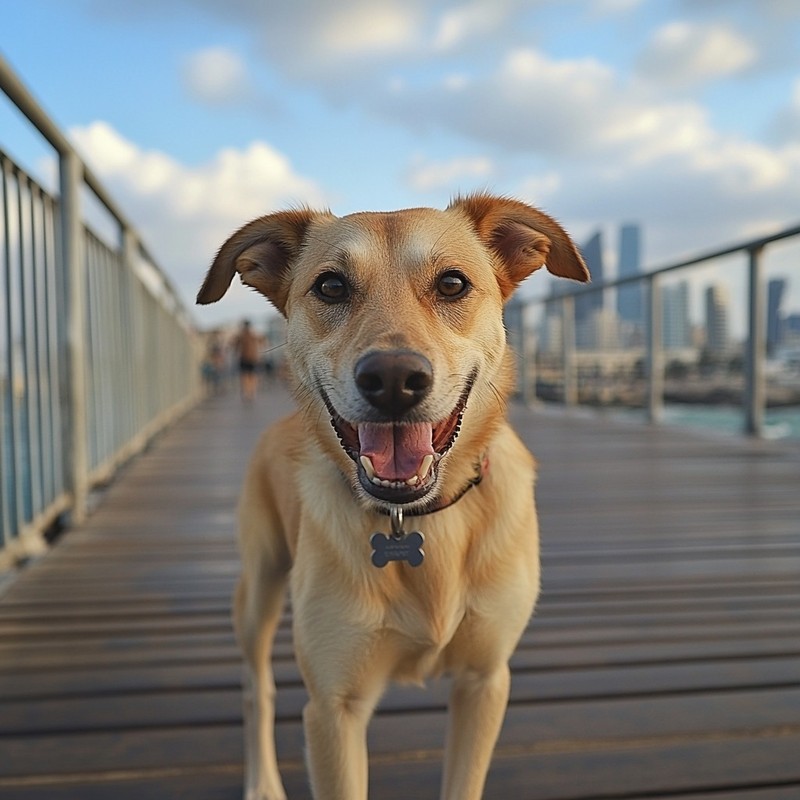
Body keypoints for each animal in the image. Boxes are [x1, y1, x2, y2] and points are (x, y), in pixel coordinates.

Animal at [198, 195, 592, 800]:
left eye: (452, 283)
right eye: (331, 286)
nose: (392, 378)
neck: (415, 518)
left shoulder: (484, 682)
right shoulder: (333, 711)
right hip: (259, 585)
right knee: (255, 685)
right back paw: (262, 780)